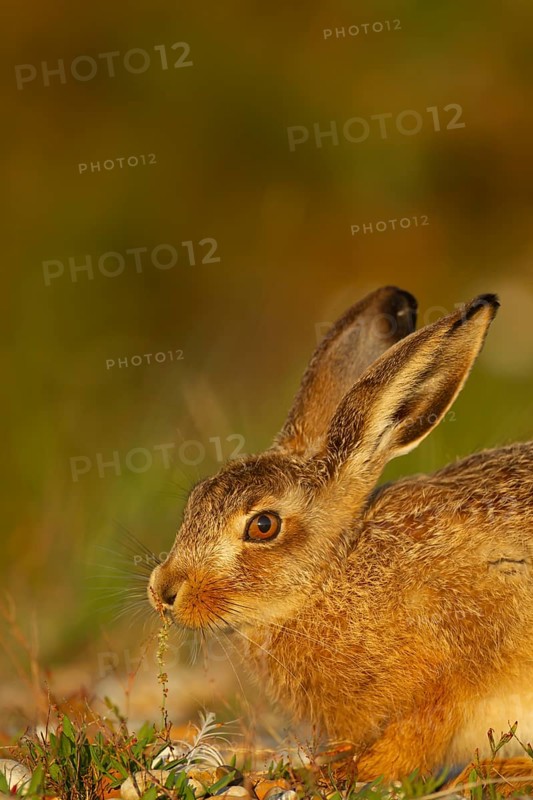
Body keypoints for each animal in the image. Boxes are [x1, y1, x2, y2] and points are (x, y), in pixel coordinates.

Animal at [148, 286, 533, 780]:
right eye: (195, 500)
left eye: (263, 526)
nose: (164, 591)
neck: (331, 577)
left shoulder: (448, 677)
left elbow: (417, 736)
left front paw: (352, 772)